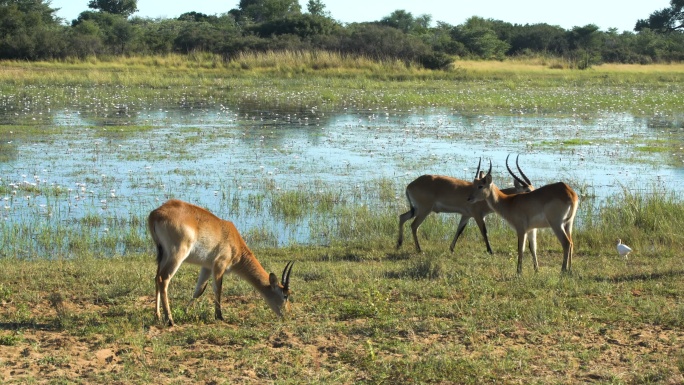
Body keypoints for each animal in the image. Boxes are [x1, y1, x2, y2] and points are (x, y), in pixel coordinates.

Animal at [148, 200, 292, 326]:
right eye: (285, 295)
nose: (288, 314)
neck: (235, 244)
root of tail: (155, 214)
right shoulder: (219, 265)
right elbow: (218, 289)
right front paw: (219, 316)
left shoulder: (206, 267)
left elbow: (199, 290)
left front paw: (186, 311)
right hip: (177, 255)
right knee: (163, 279)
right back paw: (170, 320)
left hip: (163, 256)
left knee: (156, 278)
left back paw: (158, 316)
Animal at [396, 158, 536, 254]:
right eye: (527, 190)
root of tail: (410, 185)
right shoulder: (478, 216)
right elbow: (484, 232)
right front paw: (491, 251)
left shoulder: (466, 215)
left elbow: (459, 230)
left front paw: (451, 248)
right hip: (424, 210)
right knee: (413, 226)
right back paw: (419, 250)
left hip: (417, 209)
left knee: (402, 217)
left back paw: (399, 244)